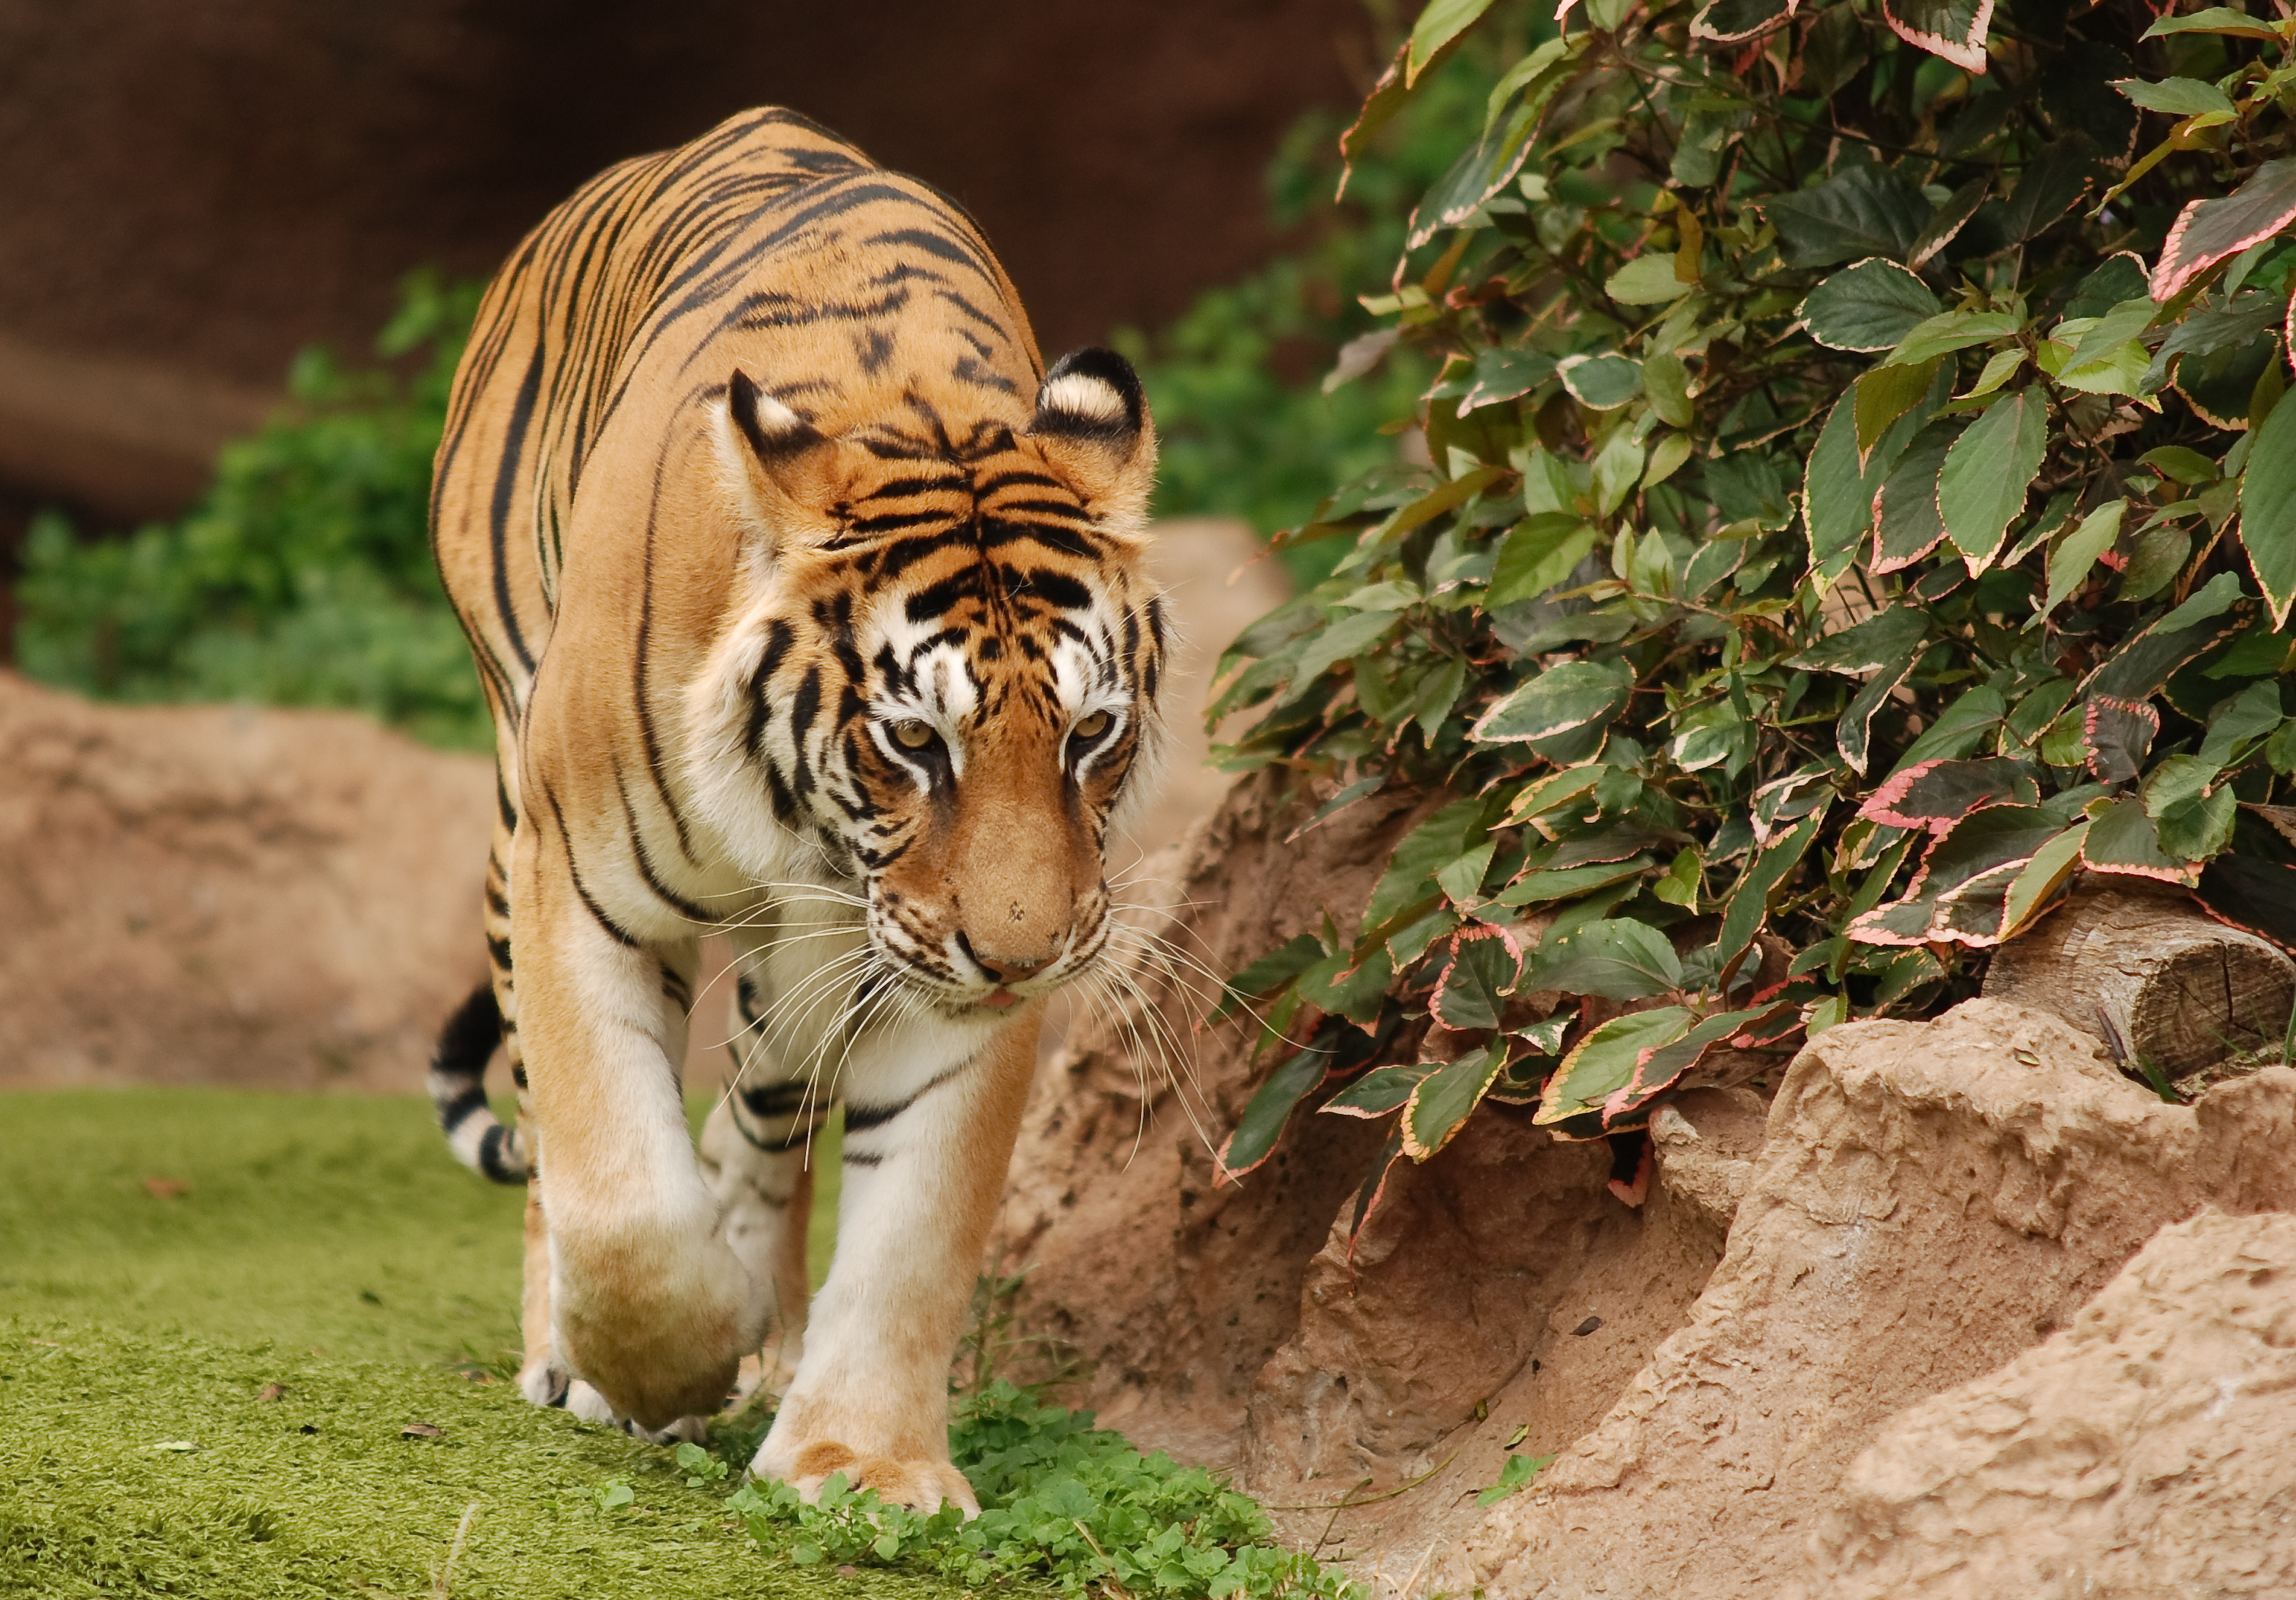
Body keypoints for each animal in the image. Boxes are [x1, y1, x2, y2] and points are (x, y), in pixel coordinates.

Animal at [422, 105, 1165, 1513]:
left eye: (1090, 733)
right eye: (915, 741)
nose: (1024, 953)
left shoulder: (950, 982)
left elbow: (915, 1230)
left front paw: (860, 1459)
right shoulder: (574, 883)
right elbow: (618, 1192)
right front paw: (667, 1365)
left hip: (808, 976)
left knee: (759, 1123)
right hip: (508, 783)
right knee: (553, 1139)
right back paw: (576, 1351)